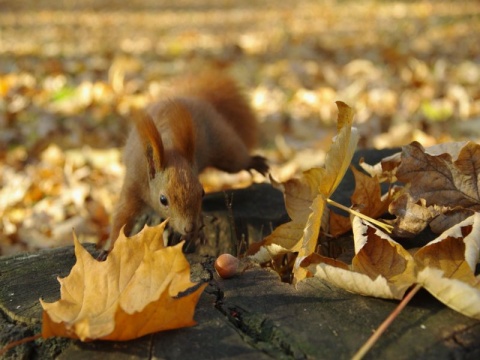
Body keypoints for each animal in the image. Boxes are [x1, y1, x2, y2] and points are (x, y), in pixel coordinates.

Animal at [105, 71, 268, 255]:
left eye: (202, 193)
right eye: (163, 200)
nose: (189, 227)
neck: (170, 147)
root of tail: (193, 97)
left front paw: (196, 234)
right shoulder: (134, 184)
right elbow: (121, 219)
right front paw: (110, 249)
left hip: (222, 143)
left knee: (237, 159)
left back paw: (255, 162)